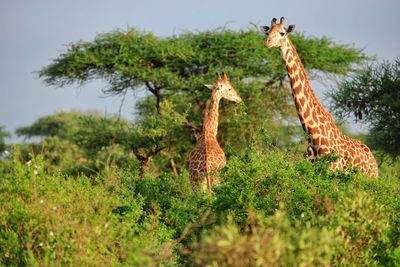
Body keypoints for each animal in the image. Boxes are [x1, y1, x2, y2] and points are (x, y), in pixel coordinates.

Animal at [262, 16, 378, 176]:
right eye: (267, 32)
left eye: (282, 33)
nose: (267, 43)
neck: (312, 135)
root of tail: (375, 163)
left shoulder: (332, 172)